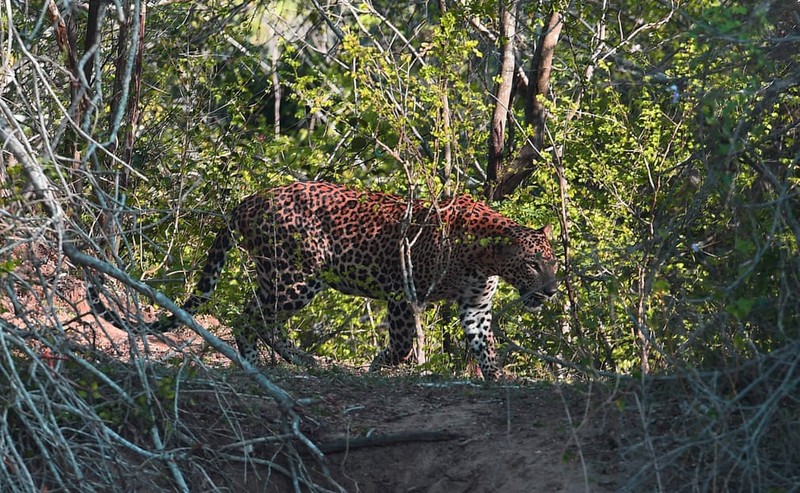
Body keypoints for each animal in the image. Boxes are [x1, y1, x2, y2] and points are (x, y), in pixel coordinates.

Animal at [145, 179, 556, 378]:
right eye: (533, 265)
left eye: (551, 263)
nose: (552, 291)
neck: (485, 257)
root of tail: (250, 200)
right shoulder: (403, 291)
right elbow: (402, 343)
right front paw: (379, 365)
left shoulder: (476, 305)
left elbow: (485, 345)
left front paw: (498, 378)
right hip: (297, 276)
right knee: (252, 317)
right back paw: (263, 361)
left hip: (275, 274)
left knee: (259, 316)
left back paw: (288, 359)